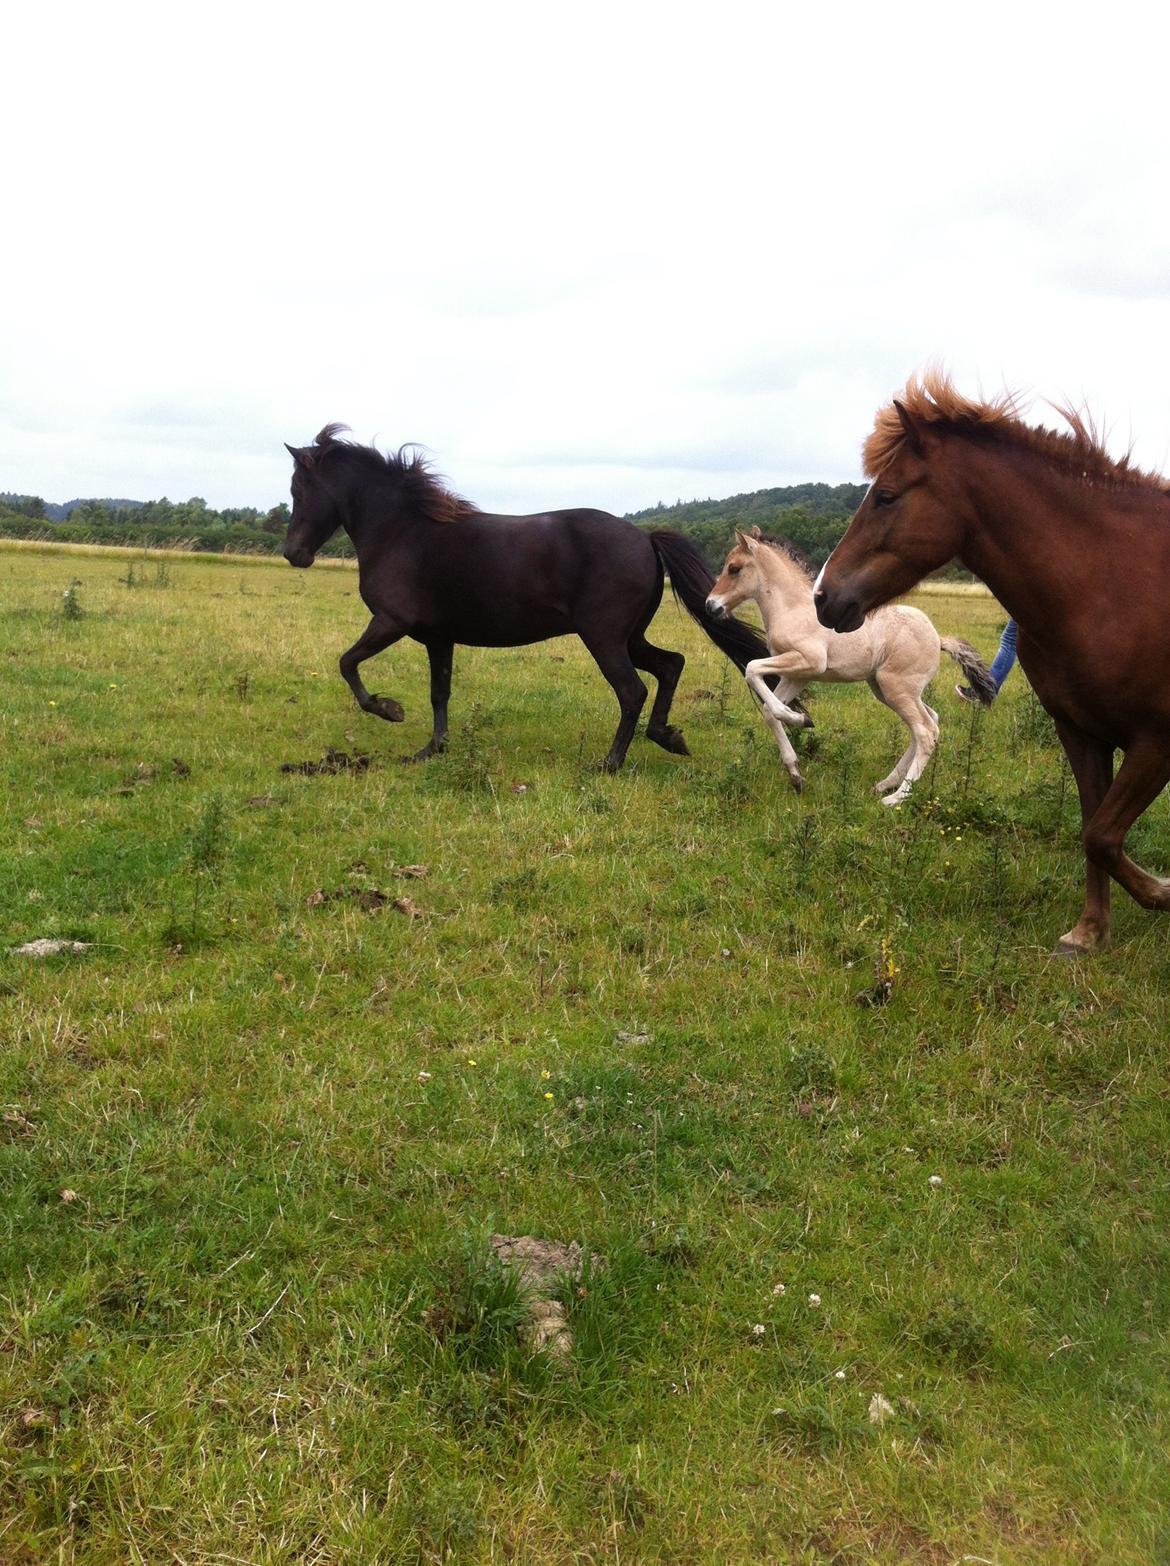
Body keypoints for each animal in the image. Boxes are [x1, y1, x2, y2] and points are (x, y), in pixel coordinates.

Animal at [285, 429, 773, 770]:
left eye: (297, 489)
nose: (294, 554)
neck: (403, 532)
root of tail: (645, 537)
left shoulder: (391, 622)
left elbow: (347, 664)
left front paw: (389, 710)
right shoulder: (438, 638)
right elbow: (439, 692)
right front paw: (432, 749)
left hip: (604, 638)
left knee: (632, 690)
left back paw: (610, 763)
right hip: (629, 638)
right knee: (671, 665)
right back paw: (667, 736)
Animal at [814, 375, 1170, 952]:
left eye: (886, 496)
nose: (824, 598)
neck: (1109, 586)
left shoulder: (1156, 741)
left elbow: (1102, 834)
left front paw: (1161, 892)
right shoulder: (1081, 733)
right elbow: (1095, 832)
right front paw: (1091, 931)